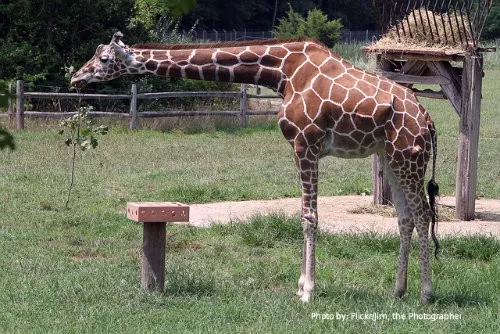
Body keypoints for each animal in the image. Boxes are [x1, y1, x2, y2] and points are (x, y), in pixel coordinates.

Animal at [70, 32, 438, 304]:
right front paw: (301, 285)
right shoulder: (304, 148)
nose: (75, 77)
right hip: (389, 156)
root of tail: (428, 120)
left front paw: (307, 292)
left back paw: (425, 293)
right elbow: (303, 215)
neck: (282, 71)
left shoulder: (305, 145)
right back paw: (398, 290)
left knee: (423, 214)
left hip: (407, 156)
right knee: (405, 217)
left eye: (105, 59)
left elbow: (309, 217)